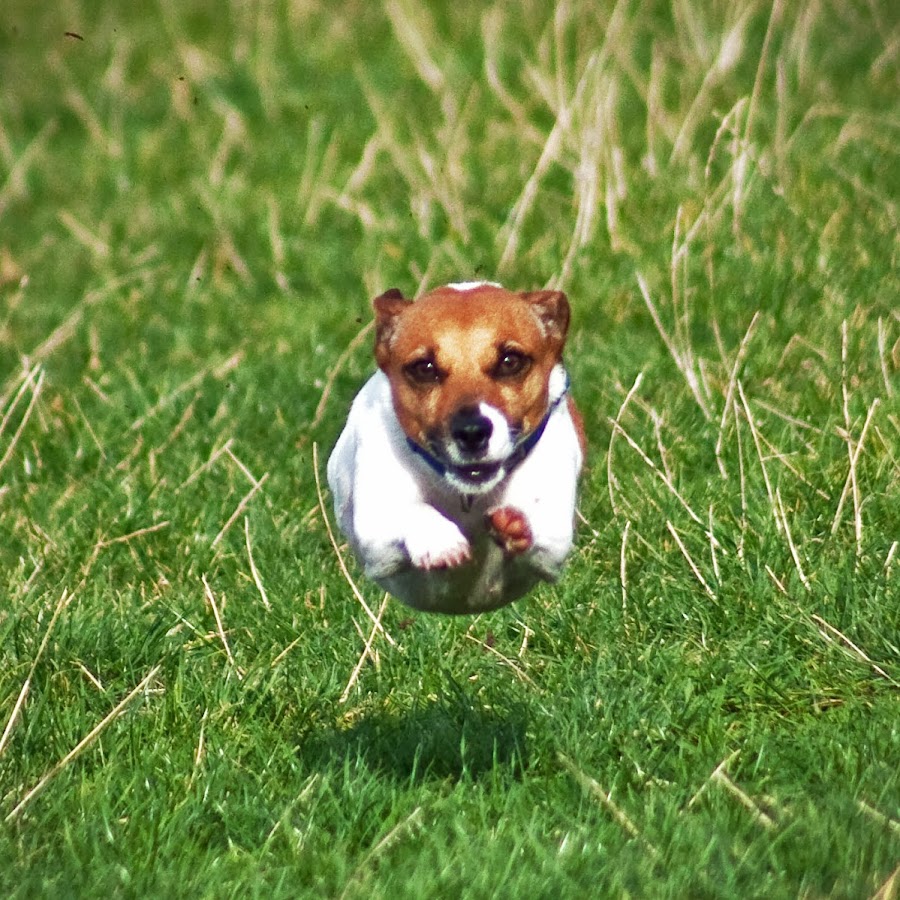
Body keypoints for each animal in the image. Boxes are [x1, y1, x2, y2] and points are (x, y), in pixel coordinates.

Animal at [326, 282, 588, 616]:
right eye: (424, 368)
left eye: (510, 361)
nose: (472, 431)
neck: (467, 497)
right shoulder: (376, 538)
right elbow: (410, 510)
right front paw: (439, 539)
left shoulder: (553, 542)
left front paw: (516, 525)